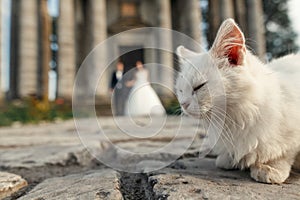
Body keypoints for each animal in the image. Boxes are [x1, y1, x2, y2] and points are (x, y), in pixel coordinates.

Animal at [176, 18, 300, 184]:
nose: (183, 104)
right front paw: (230, 159)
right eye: (180, 90)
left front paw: (269, 168)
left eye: (199, 87)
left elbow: (283, 153)